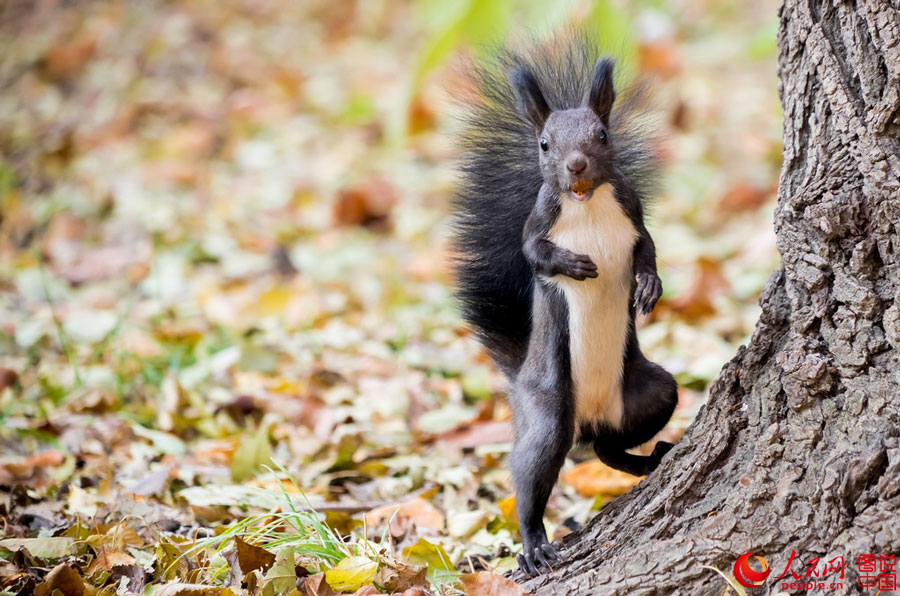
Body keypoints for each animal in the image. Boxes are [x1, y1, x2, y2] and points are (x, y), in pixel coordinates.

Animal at [450, 37, 678, 578]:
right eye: (544, 144)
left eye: (602, 135)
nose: (575, 165)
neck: (586, 202)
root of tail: (589, 416)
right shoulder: (538, 223)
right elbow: (533, 253)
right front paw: (572, 264)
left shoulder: (633, 214)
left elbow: (648, 249)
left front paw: (648, 286)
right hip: (549, 408)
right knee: (533, 473)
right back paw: (534, 545)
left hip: (649, 392)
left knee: (608, 447)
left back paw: (646, 459)